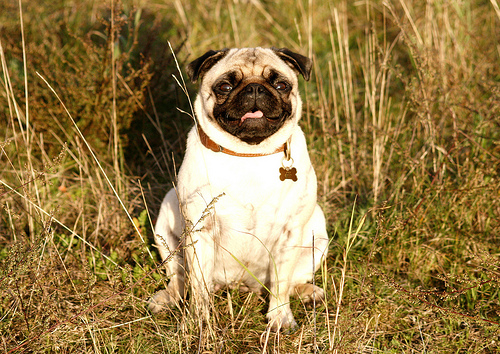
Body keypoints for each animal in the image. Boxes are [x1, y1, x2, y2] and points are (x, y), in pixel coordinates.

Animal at [148, 47, 328, 332]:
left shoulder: (289, 233)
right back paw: (167, 298)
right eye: (225, 86)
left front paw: (279, 317)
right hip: (165, 225)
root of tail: (240, 283)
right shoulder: (200, 231)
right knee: (180, 277)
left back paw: (308, 292)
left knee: (290, 282)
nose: (255, 88)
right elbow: (198, 286)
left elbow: (281, 282)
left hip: (317, 237)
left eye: (281, 85)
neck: (249, 154)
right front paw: (199, 321)